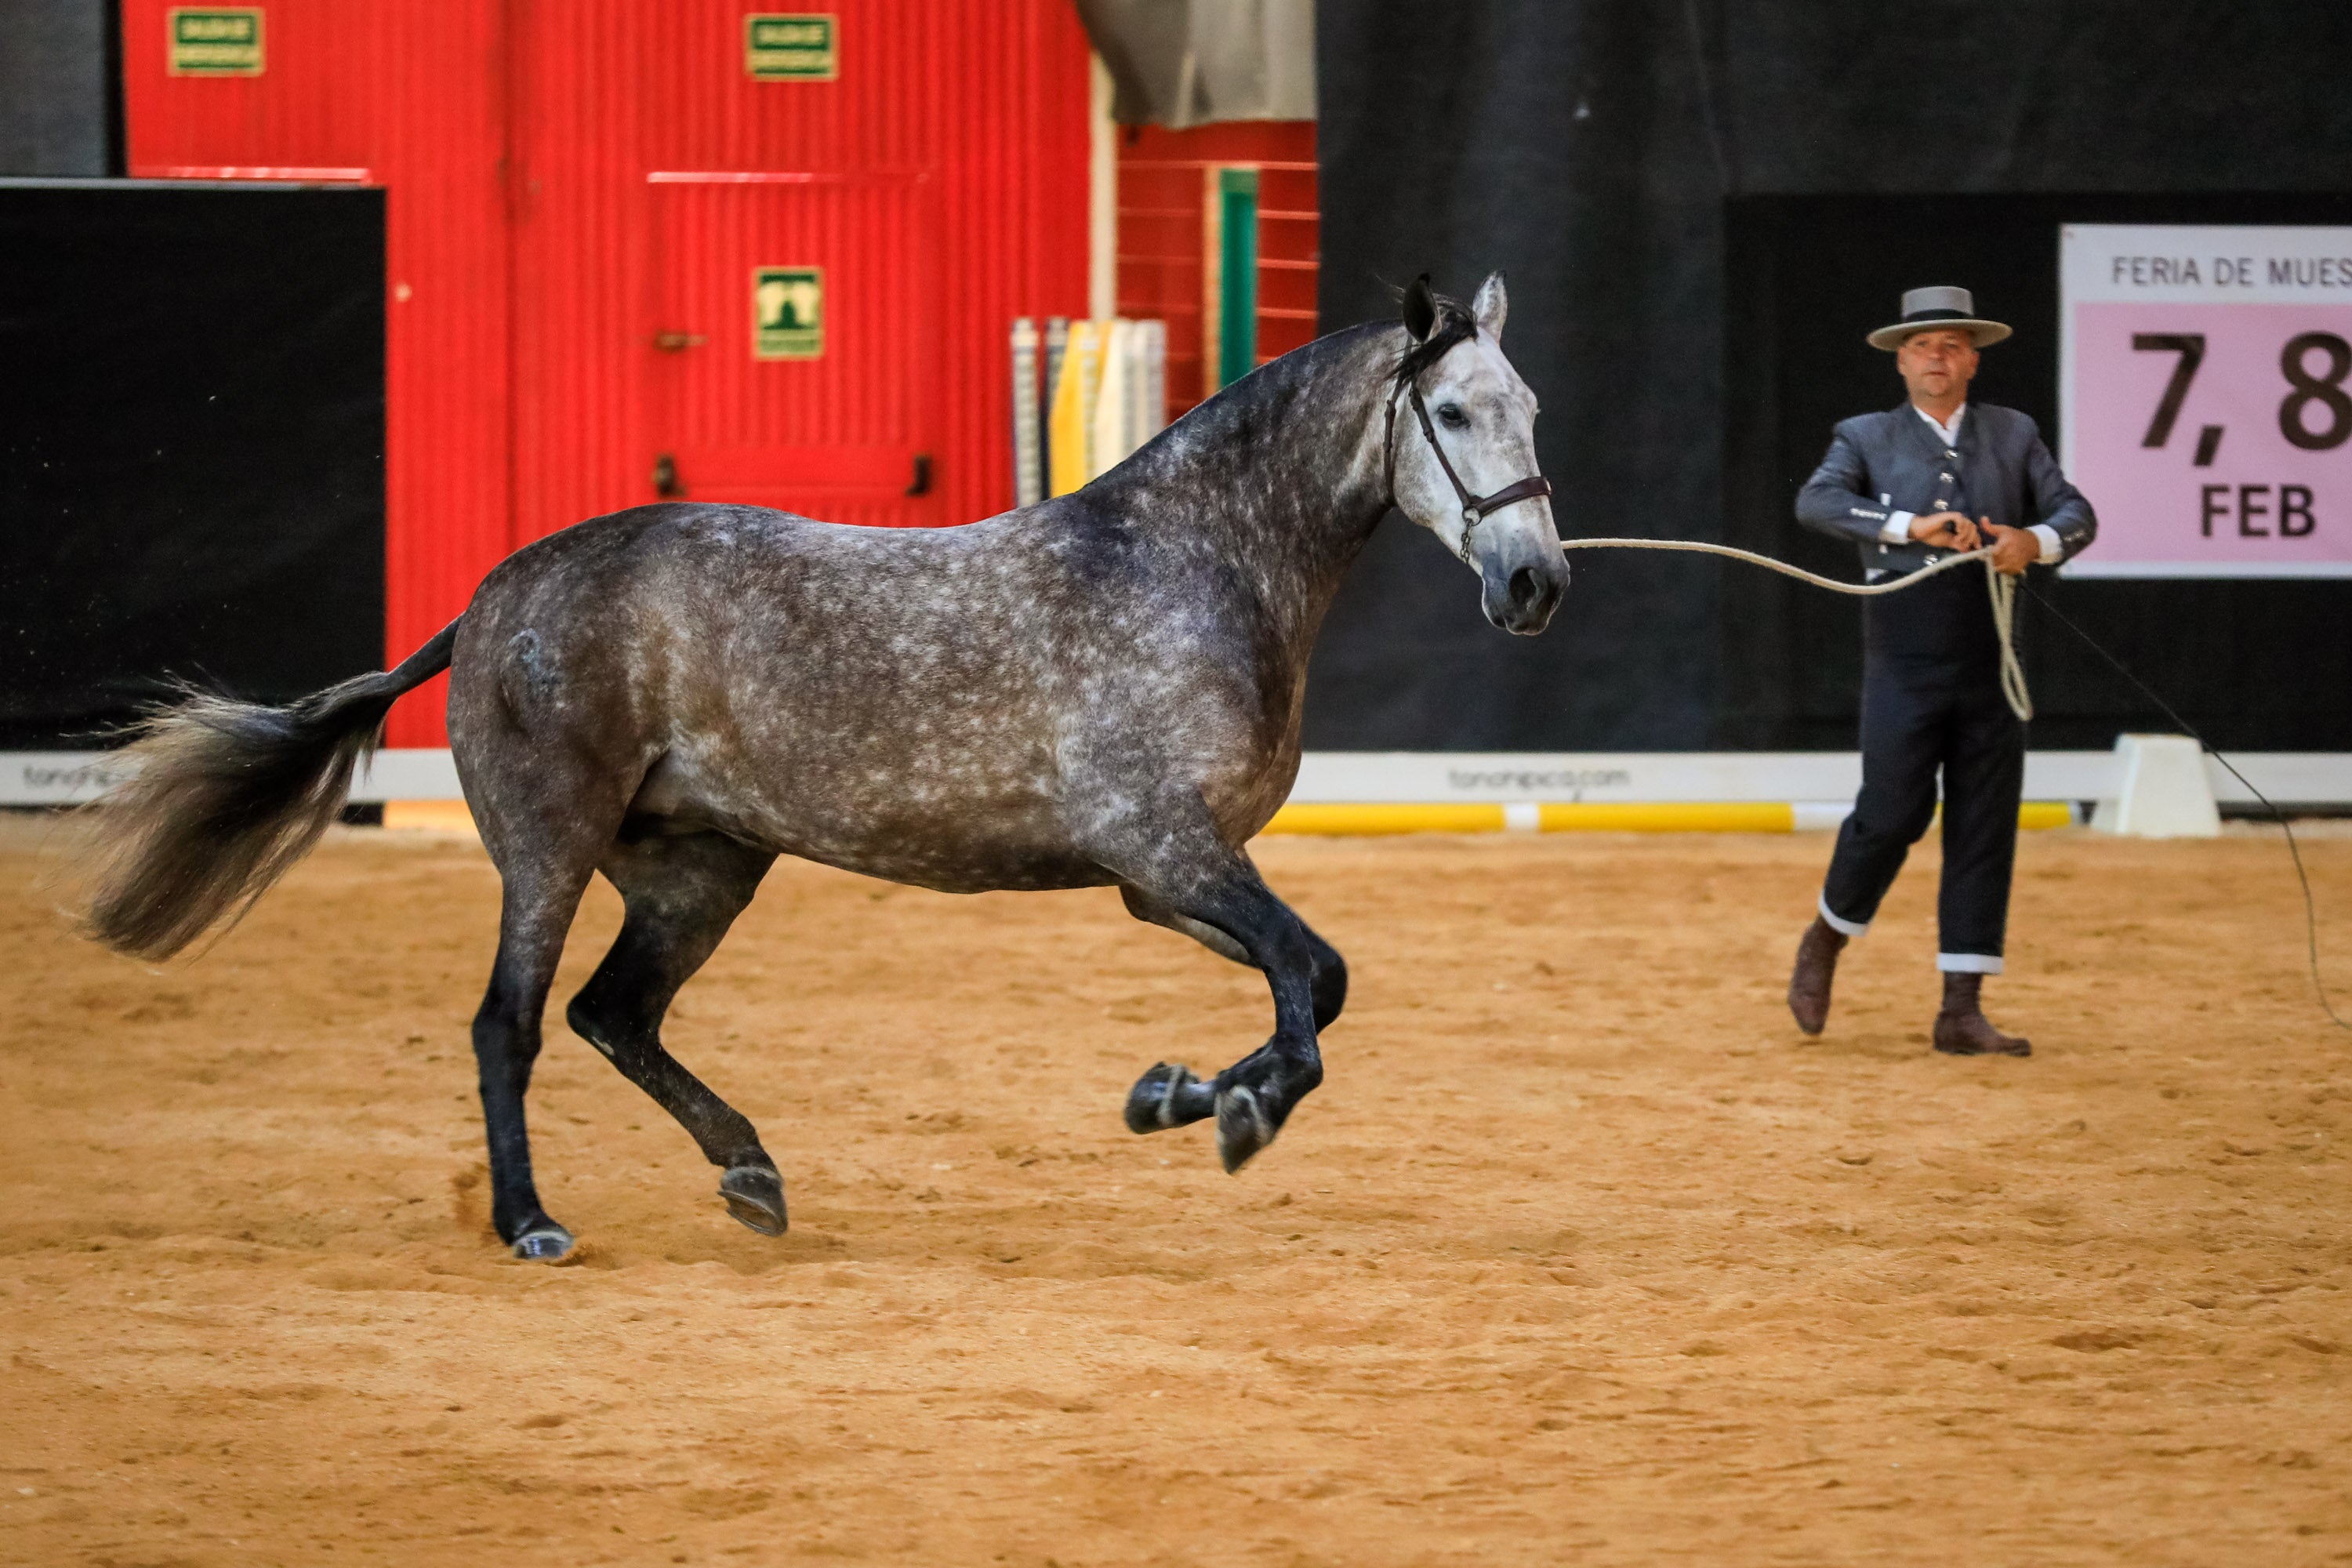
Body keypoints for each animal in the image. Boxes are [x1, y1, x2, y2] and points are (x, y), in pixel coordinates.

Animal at [78, 276, 1562, 1260]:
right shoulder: (1164, 846)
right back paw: (530, 1222)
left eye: (1531, 409)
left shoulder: (1165, 880)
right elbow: (1308, 983)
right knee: (511, 1024)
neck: (1193, 567)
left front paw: (1182, 1094)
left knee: (615, 1017)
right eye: (1448, 413)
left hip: (700, 870)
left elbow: (1314, 981)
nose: (1535, 583)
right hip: (552, 849)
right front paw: (1236, 1110)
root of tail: (493, 596)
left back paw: (750, 1174)